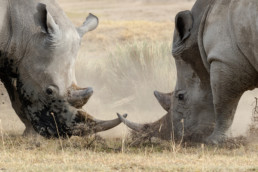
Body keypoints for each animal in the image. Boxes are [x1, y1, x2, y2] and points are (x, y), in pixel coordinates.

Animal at [119, 0, 258, 144]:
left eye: (181, 97)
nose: (173, 138)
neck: (197, 34)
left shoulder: (225, 59)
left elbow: (223, 102)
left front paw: (212, 142)